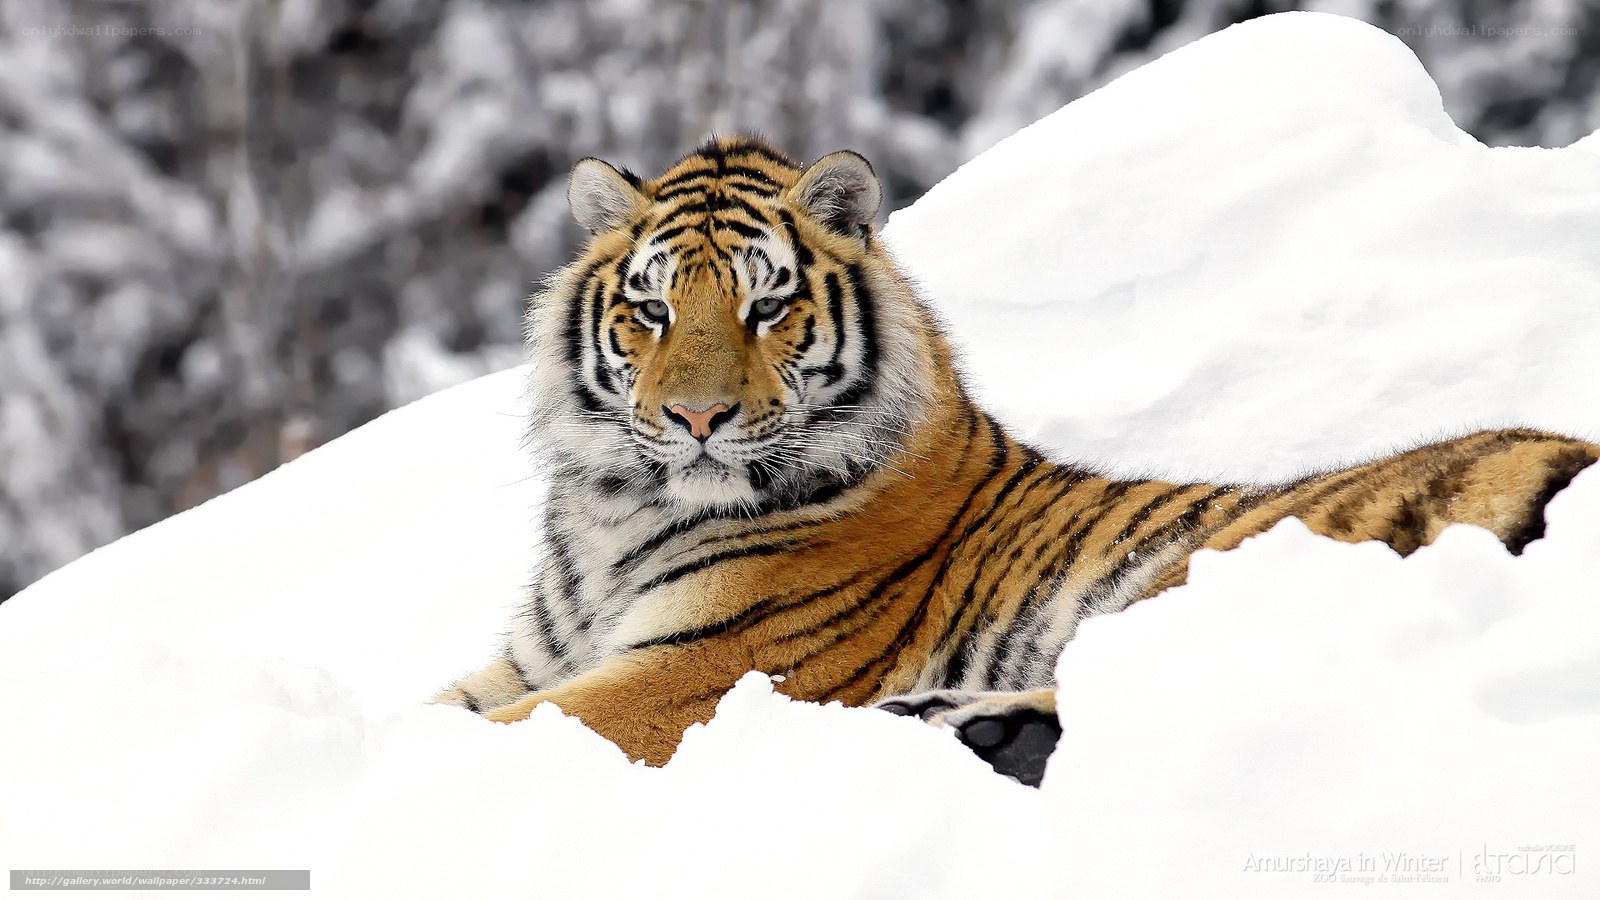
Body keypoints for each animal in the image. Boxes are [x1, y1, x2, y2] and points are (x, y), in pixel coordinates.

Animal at [434, 136, 1599, 787]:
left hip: (1224, 562)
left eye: (766, 307)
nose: (696, 417)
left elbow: (478, 734)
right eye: (653, 311)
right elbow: (442, 711)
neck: (615, 517)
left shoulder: (694, 671)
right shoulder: (529, 660)